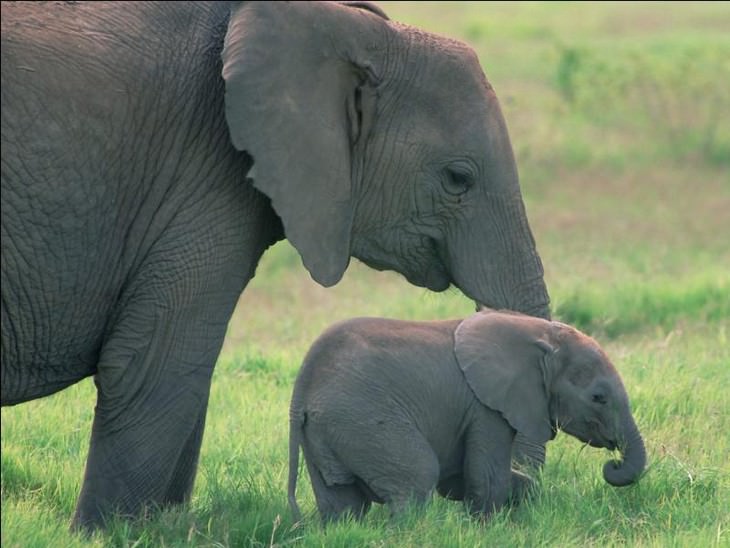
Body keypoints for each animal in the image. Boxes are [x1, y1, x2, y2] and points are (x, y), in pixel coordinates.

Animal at [0, 0, 544, 532]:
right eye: (457, 179)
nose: (521, 494)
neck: (352, 28)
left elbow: (184, 376)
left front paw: (167, 528)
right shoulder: (203, 174)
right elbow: (155, 364)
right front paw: (107, 535)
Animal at [288, 308, 644, 524]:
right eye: (598, 398)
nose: (612, 464)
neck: (540, 335)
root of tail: (303, 386)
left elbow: (469, 479)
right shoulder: (485, 407)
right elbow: (486, 477)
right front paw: (486, 529)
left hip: (326, 431)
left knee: (342, 504)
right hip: (362, 419)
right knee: (416, 479)